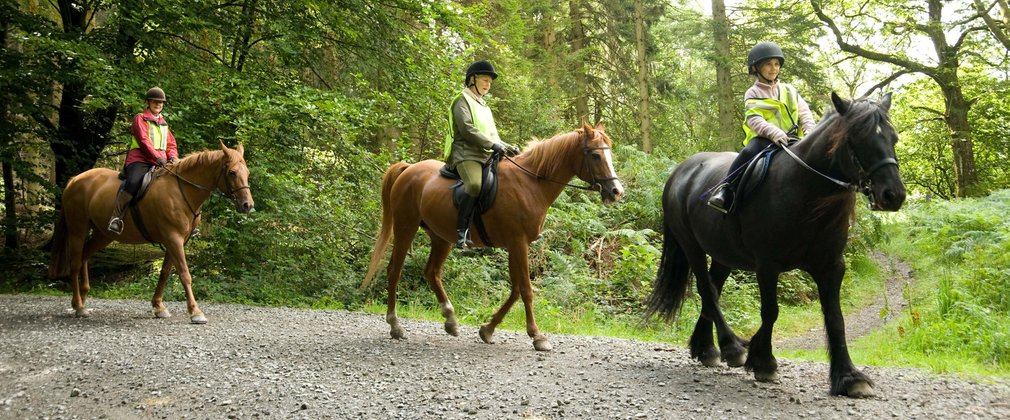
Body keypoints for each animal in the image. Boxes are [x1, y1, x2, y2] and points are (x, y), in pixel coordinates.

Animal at [47, 142, 254, 323]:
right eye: (232, 172)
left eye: (247, 173)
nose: (247, 205)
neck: (181, 191)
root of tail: (75, 180)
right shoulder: (173, 238)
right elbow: (185, 274)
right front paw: (195, 312)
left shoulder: (176, 241)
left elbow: (164, 273)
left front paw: (158, 307)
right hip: (78, 229)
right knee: (74, 262)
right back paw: (78, 305)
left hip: (102, 234)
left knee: (84, 255)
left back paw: (83, 299)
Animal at [359, 121, 626, 351]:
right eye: (595, 155)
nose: (616, 191)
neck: (531, 184)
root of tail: (408, 169)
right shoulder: (518, 243)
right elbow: (526, 289)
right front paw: (537, 336)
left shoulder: (515, 245)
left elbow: (516, 289)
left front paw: (487, 329)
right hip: (406, 227)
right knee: (394, 270)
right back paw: (395, 325)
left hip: (441, 236)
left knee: (432, 272)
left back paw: (450, 320)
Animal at [646, 91, 909, 397]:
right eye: (857, 137)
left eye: (893, 137)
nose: (893, 195)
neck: (805, 192)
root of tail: (679, 171)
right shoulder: (767, 265)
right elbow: (771, 312)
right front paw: (763, 360)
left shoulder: (831, 267)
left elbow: (835, 317)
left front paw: (848, 377)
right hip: (691, 246)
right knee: (707, 290)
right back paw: (732, 347)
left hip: (723, 254)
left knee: (713, 290)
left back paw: (707, 348)